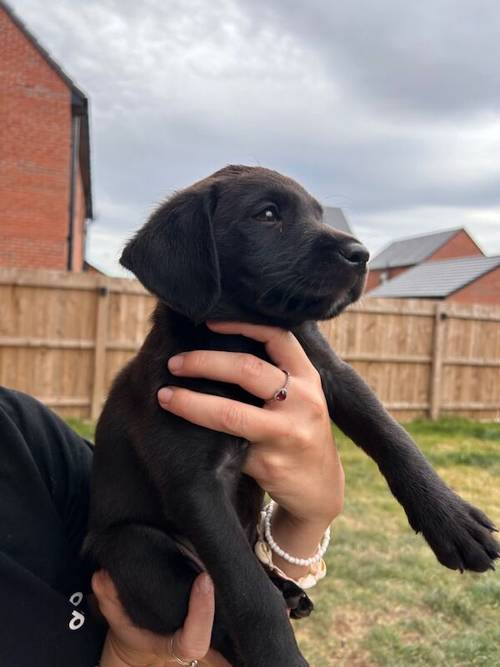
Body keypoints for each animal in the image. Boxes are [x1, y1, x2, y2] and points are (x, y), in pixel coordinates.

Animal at [85, 166, 496, 667]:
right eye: (267, 214)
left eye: (319, 214)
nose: (361, 255)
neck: (243, 341)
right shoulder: (196, 482)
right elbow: (249, 595)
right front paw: (278, 652)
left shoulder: (330, 375)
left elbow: (395, 438)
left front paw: (452, 519)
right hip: (133, 546)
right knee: (217, 612)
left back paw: (290, 589)